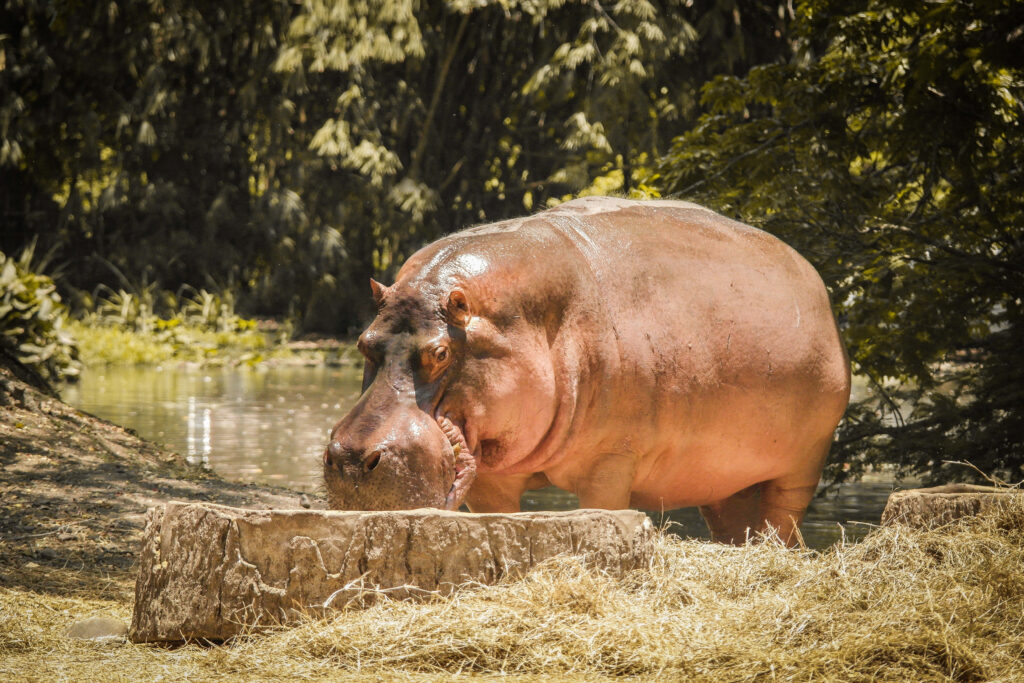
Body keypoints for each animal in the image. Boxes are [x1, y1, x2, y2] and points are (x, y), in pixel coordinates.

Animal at [323, 197, 851, 545]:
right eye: (363, 343)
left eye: (439, 353)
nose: (349, 459)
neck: (541, 318)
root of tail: (811, 274)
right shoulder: (490, 475)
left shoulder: (611, 461)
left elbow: (603, 508)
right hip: (725, 477)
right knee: (733, 518)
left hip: (803, 464)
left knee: (783, 517)